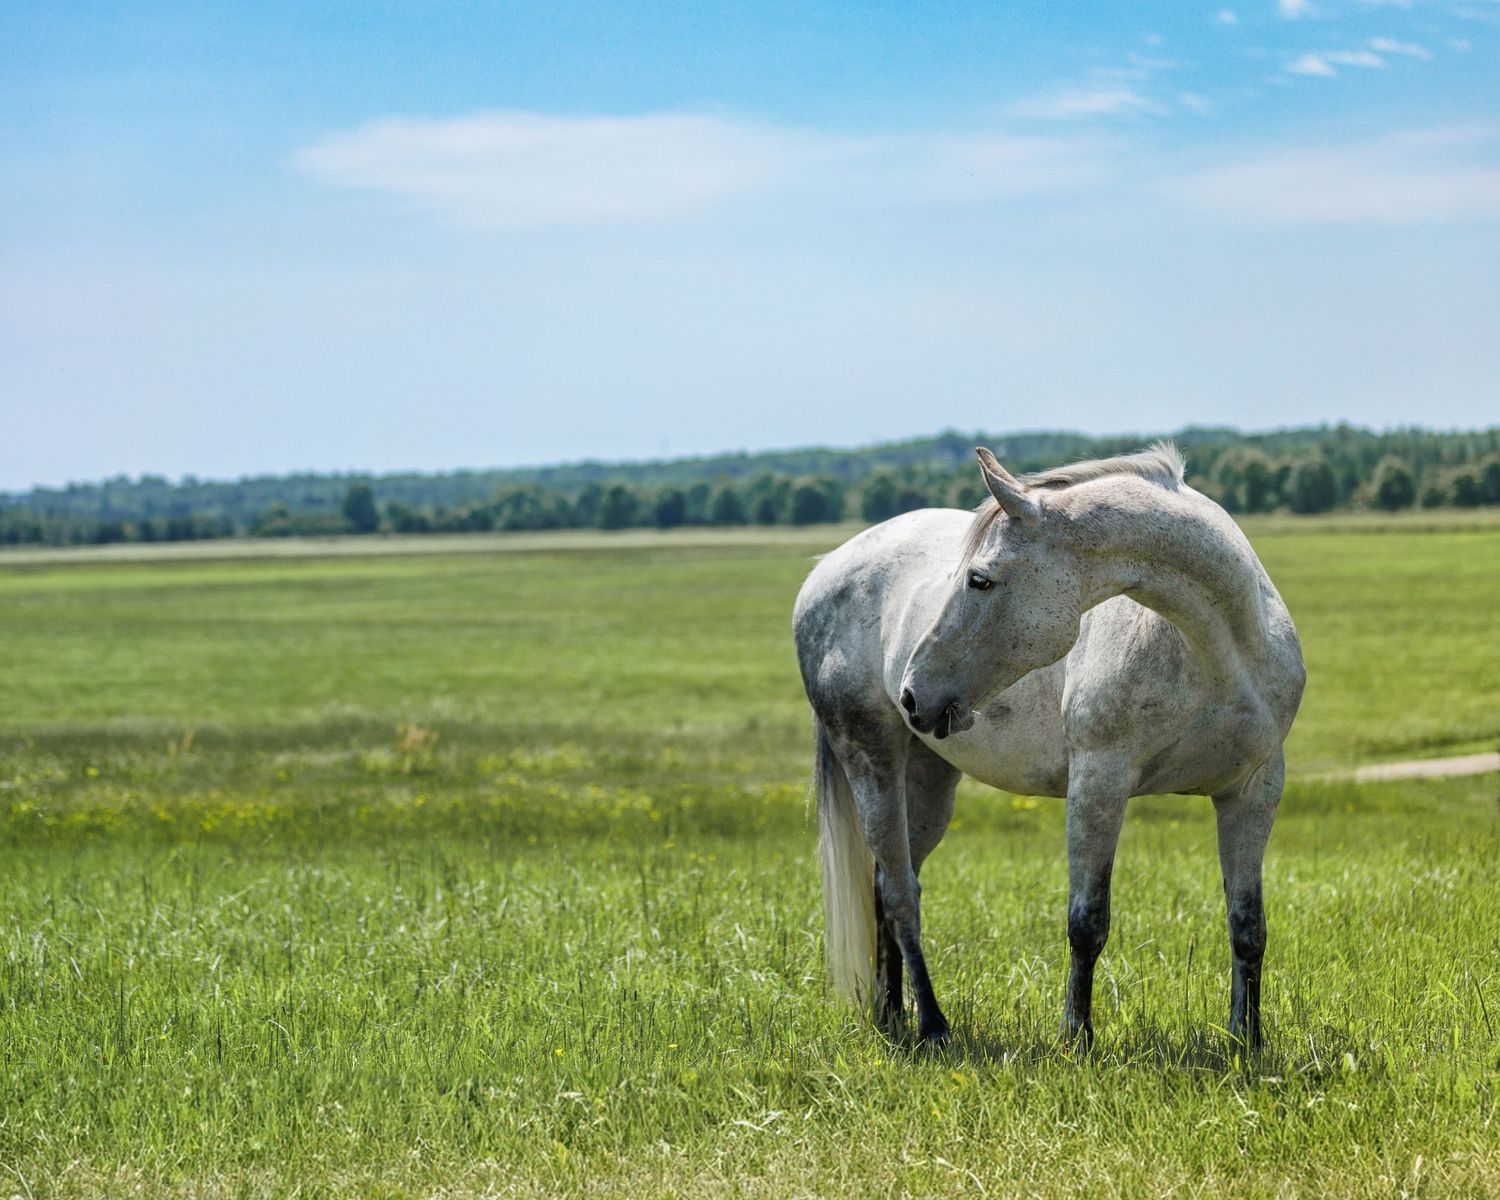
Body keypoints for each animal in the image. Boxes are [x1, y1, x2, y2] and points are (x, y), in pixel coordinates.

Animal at [792, 443, 1305, 1049]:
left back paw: (893, 1015)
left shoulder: (1252, 792)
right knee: (899, 896)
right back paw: (934, 1026)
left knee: (884, 889)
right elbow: (1087, 922)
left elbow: (1248, 927)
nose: (912, 693)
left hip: (927, 780)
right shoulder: (1099, 782)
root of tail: (826, 567)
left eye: (979, 580)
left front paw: (1247, 1042)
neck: (1216, 653)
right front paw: (1076, 1037)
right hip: (870, 758)